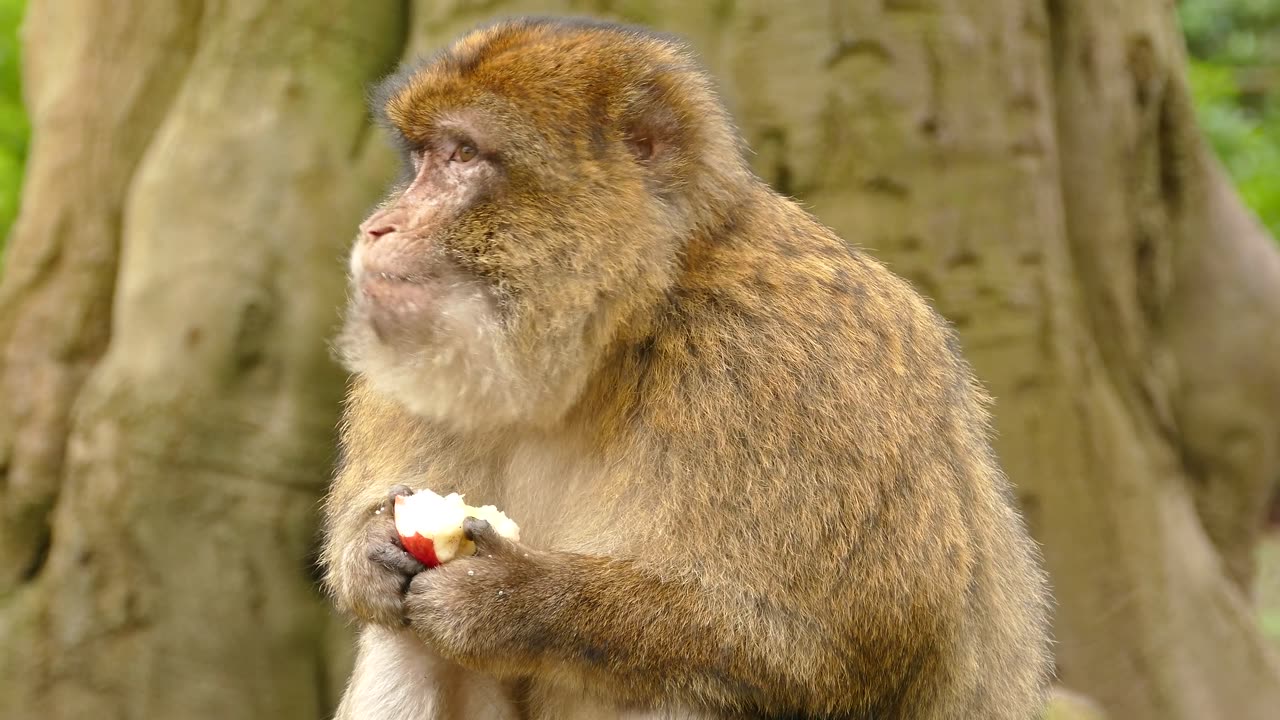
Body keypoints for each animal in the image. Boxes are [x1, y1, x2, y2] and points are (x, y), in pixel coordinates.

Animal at [320, 12, 1049, 717]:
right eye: (421, 157)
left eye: (463, 153)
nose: (379, 227)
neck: (620, 337)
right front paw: (369, 551)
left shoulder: (796, 371)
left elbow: (848, 647)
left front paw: (514, 598)